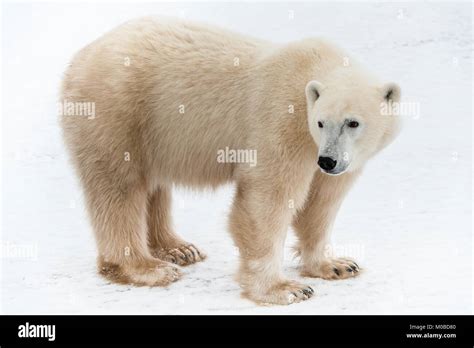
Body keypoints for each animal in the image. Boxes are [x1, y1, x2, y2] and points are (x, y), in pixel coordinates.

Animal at [59, 17, 400, 304]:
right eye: (320, 122)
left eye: (353, 123)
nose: (327, 161)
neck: (312, 67)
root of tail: (80, 56)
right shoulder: (281, 120)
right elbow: (267, 199)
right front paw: (285, 289)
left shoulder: (335, 158)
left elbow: (321, 203)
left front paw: (337, 264)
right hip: (117, 109)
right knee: (119, 186)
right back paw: (146, 267)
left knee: (152, 184)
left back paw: (179, 248)